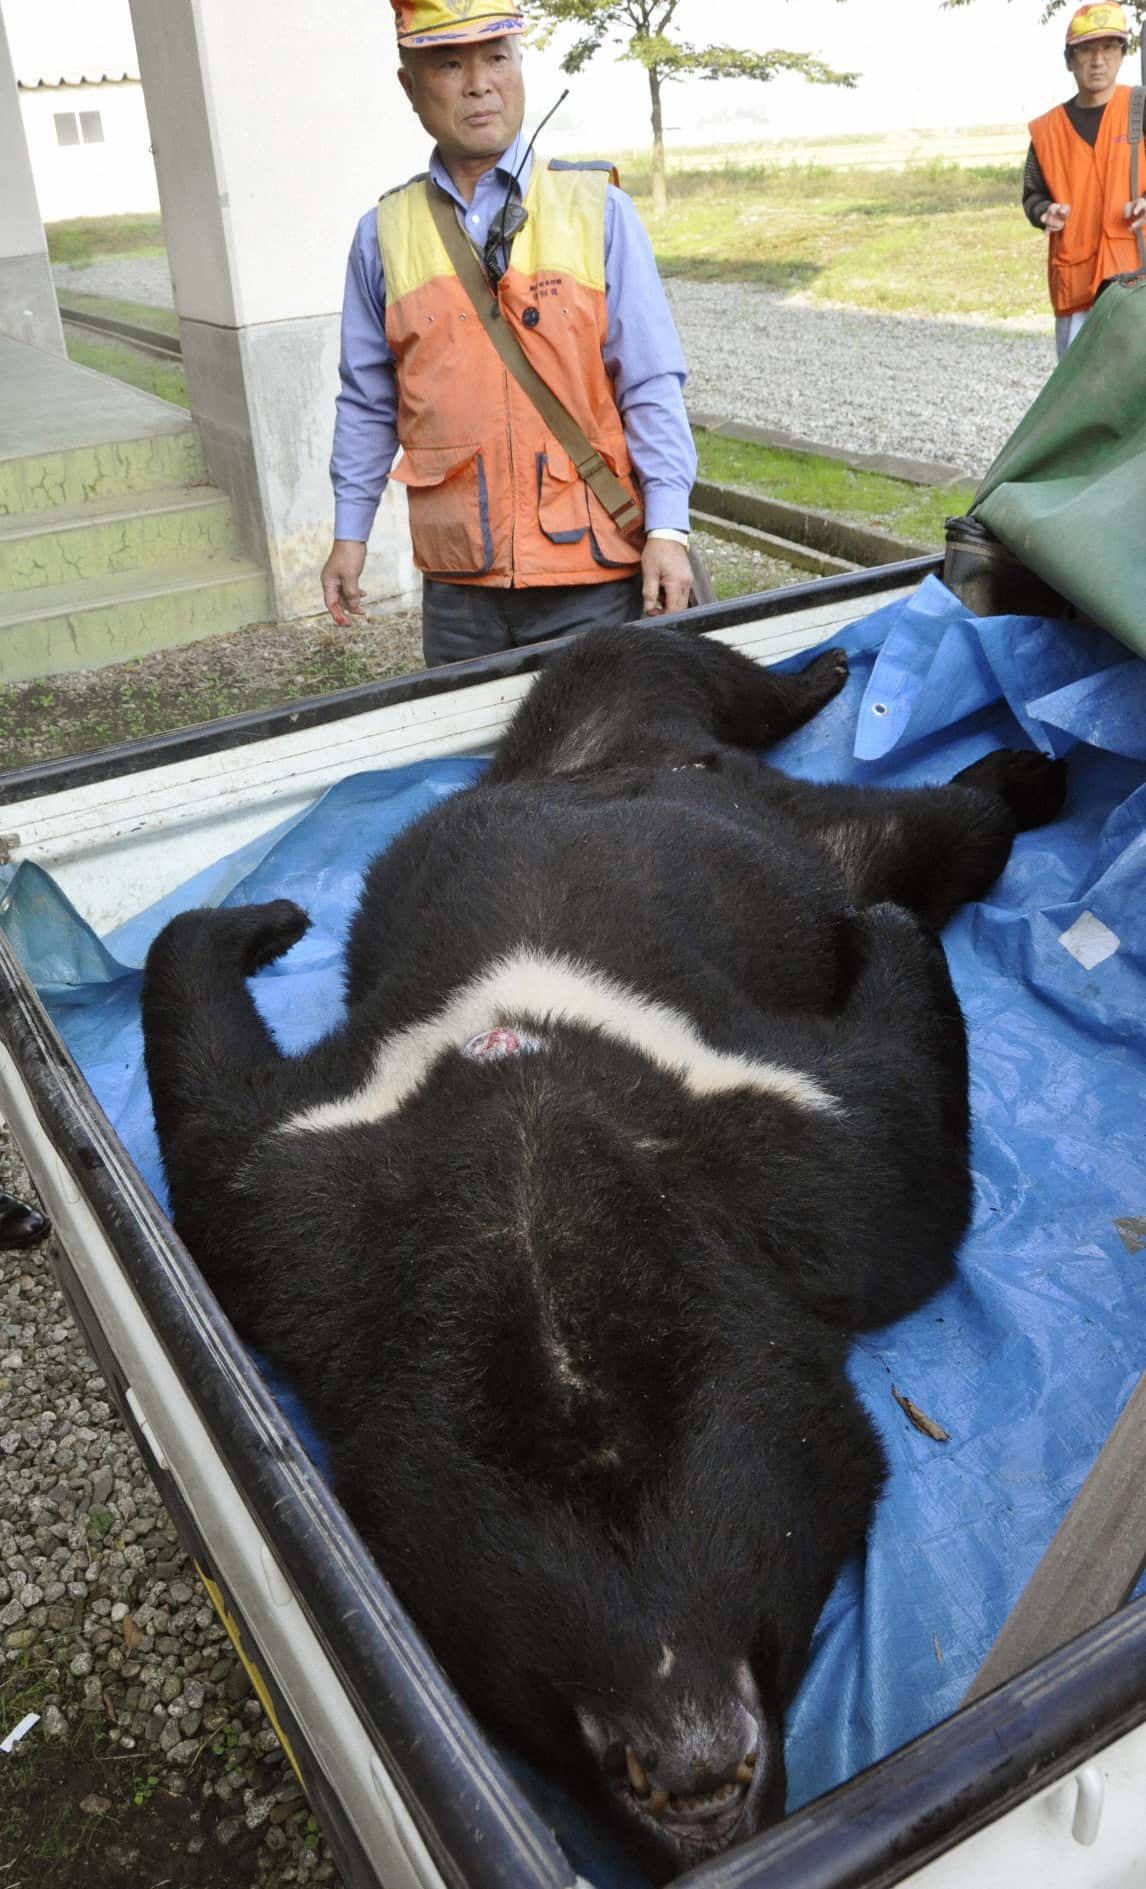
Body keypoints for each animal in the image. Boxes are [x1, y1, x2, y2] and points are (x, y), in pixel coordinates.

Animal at [141, 624, 1066, 1880]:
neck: (539, 1182)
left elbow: (907, 1156)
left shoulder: (794, 1164)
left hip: (777, 816)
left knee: (895, 803)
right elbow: (209, 1112)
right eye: (525, 1676)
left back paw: (923, 726)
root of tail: (639, 763)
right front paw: (264, 922)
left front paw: (269, 918)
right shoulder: (309, 1205)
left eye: (770, 1563)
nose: (696, 1772)